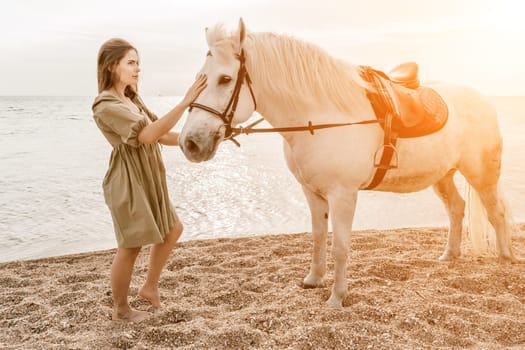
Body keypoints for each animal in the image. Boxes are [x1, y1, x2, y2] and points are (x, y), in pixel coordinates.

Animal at [177, 19, 516, 308]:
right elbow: (318, 237)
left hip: (481, 174)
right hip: (442, 175)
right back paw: (450, 255)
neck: (322, 117)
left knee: (496, 213)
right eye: (200, 78)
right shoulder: (312, 192)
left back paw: (505, 259)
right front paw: (313, 279)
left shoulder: (343, 194)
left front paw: (337, 297)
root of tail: (483, 98)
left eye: (225, 79)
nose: (190, 143)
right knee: (456, 208)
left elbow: (340, 245)